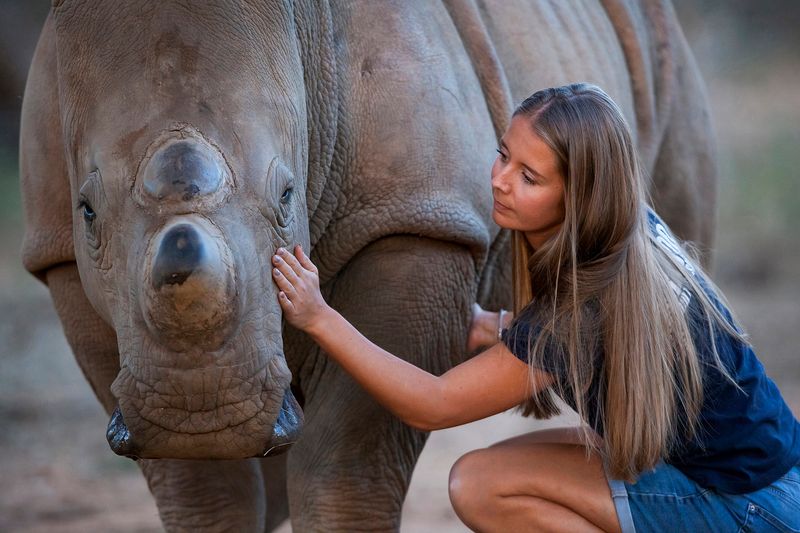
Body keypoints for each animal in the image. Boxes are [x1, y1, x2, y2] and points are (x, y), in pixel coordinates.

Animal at [20, 0, 716, 530]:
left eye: (287, 196)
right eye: (87, 211)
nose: (204, 412)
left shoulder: (415, 220)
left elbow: (345, 460)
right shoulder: (56, 250)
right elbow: (204, 490)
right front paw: (201, 447)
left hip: (667, 63)